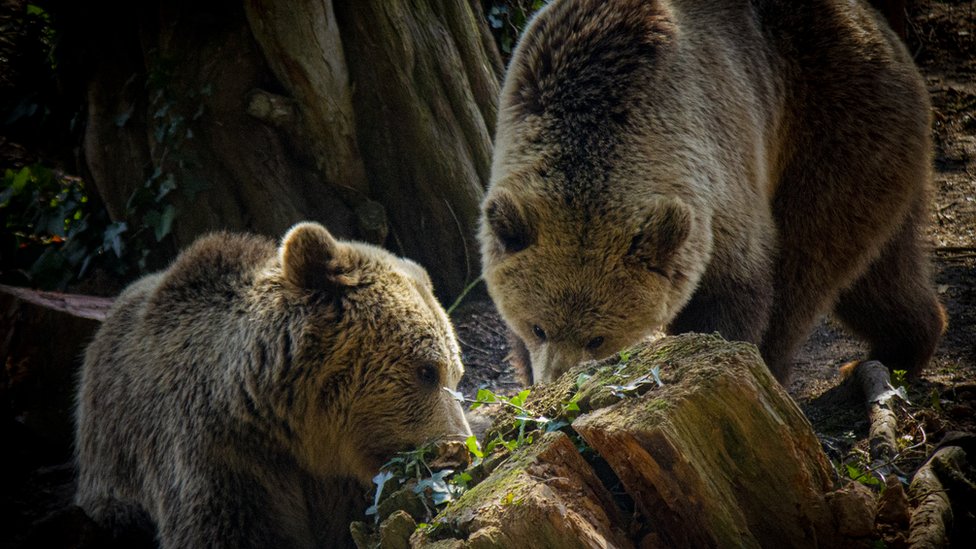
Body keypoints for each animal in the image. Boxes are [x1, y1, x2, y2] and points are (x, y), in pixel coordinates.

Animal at [480, 0, 944, 386]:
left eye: (598, 337)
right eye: (538, 326)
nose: (554, 380)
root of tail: (882, 30)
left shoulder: (718, 169)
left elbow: (733, 292)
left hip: (833, 128)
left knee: (807, 263)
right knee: (881, 272)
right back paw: (899, 350)